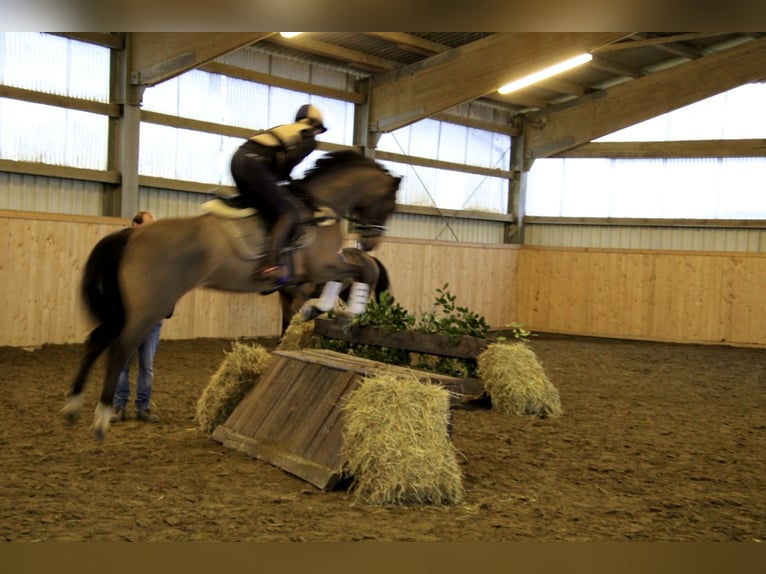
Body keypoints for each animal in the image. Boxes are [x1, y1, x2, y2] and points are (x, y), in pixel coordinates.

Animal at [61, 150, 402, 440]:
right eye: (390, 202)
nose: (370, 242)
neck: (321, 207)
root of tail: (131, 235)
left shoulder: (317, 273)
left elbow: (352, 274)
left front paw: (320, 310)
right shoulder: (321, 267)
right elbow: (361, 272)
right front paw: (342, 311)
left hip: (126, 309)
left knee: (96, 341)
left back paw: (72, 407)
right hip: (149, 307)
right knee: (119, 348)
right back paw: (101, 417)